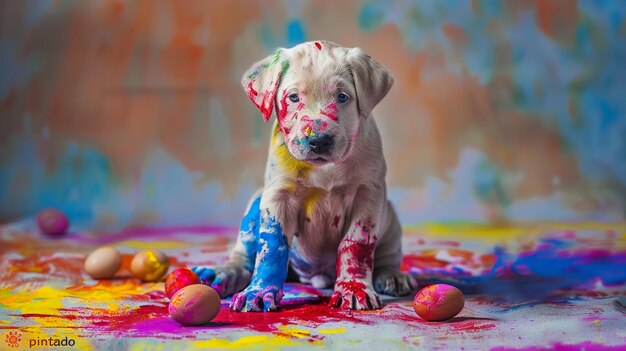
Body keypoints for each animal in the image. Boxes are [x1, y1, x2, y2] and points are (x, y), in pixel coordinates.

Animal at [190, 40, 414, 312]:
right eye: (293, 97)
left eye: (342, 97)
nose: (319, 140)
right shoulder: (277, 197)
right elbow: (272, 247)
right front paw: (259, 291)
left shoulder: (368, 195)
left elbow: (355, 244)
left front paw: (354, 288)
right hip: (254, 206)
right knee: (243, 257)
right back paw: (222, 273)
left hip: (389, 216)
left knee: (387, 255)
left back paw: (392, 275)